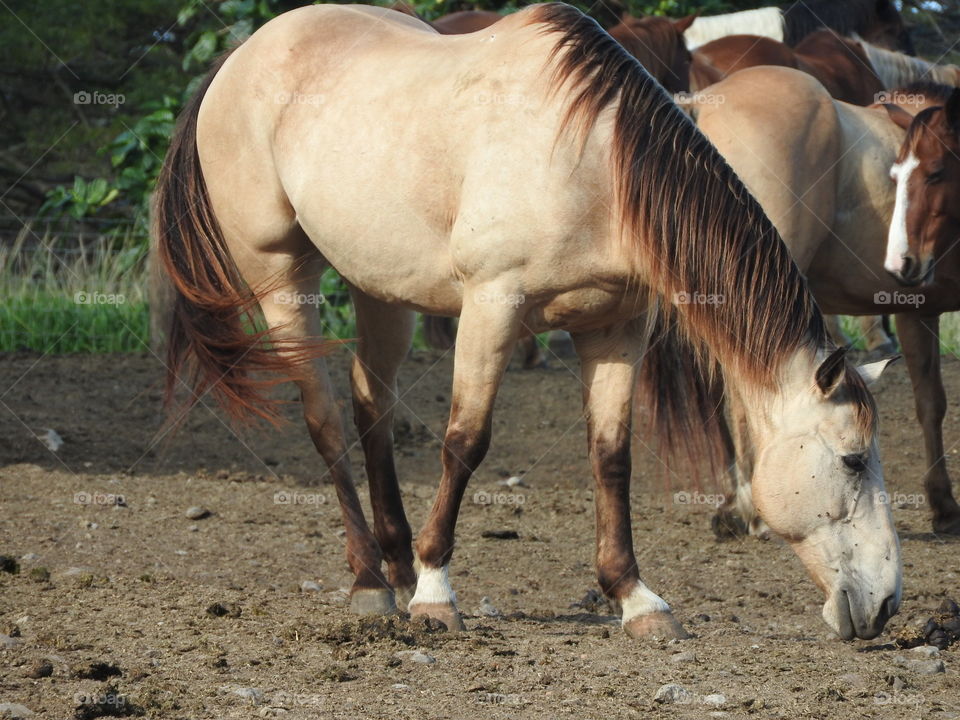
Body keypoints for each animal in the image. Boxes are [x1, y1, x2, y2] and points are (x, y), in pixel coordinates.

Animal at [688, 67, 960, 536]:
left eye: (936, 174)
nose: (901, 261)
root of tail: (702, 105)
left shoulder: (917, 310)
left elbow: (930, 403)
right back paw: (748, 507)